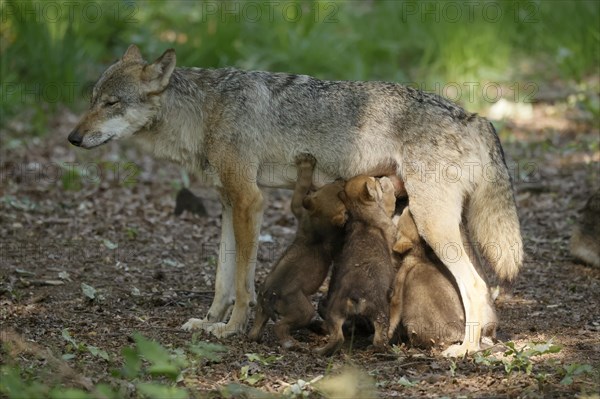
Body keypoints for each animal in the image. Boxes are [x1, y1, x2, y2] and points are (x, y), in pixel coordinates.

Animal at [248, 155, 344, 348]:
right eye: (340, 192)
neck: (315, 222)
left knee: (256, 328)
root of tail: (269, 293)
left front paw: (305, 162)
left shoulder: (299, 209)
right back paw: (291, 343)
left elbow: (300, 189)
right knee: (280, 325)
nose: (341, 179)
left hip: (261, 306)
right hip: (302, 308)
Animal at [314, 176, 398, 356]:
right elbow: (388, 204)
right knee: (378, 339)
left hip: (335, 312)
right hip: (381, 313)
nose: (379, 177)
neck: (361, 215)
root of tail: (357, 295)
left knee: (337, 336)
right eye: (373, 180)